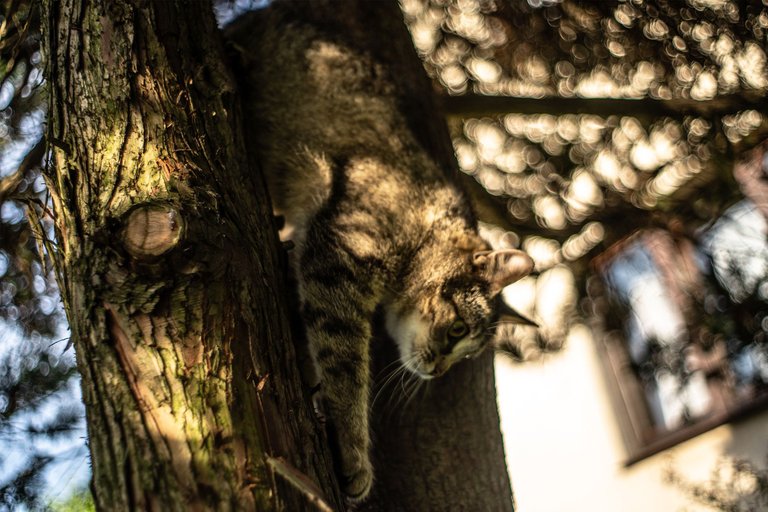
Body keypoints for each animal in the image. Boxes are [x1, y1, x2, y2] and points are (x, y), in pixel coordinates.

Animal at [225, 3, 532, 500]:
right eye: (457, 330)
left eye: (468, 356)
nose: (439, 372)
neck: (423, 227)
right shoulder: (338, 258)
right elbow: (345, 362)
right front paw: (353, 450)